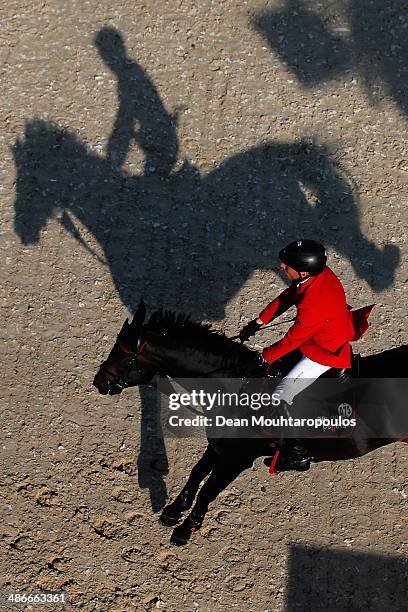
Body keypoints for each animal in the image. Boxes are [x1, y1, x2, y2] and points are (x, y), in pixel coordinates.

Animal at [94, 302, 406, 544]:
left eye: (124, 353)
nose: (99, 383)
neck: (233, 384)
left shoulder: (238, 459)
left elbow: (209, 489)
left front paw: (186, 529)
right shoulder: (219, 445)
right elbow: (197, 473)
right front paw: (174, 510)